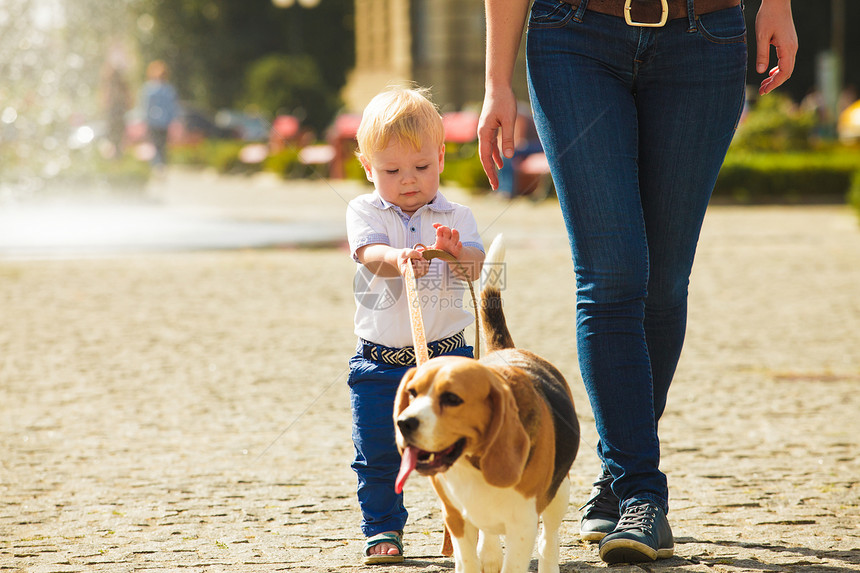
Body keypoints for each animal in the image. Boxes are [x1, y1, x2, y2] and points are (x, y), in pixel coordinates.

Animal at [394, 235, 576, 568]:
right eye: (412, 393)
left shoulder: (522, 526)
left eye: (452, 398)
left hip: (560, 494)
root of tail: (508, 350)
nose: (404, 423)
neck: (473, 463)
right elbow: (469, 560)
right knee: (489, 546)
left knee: (549, 541)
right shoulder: (456, 519)